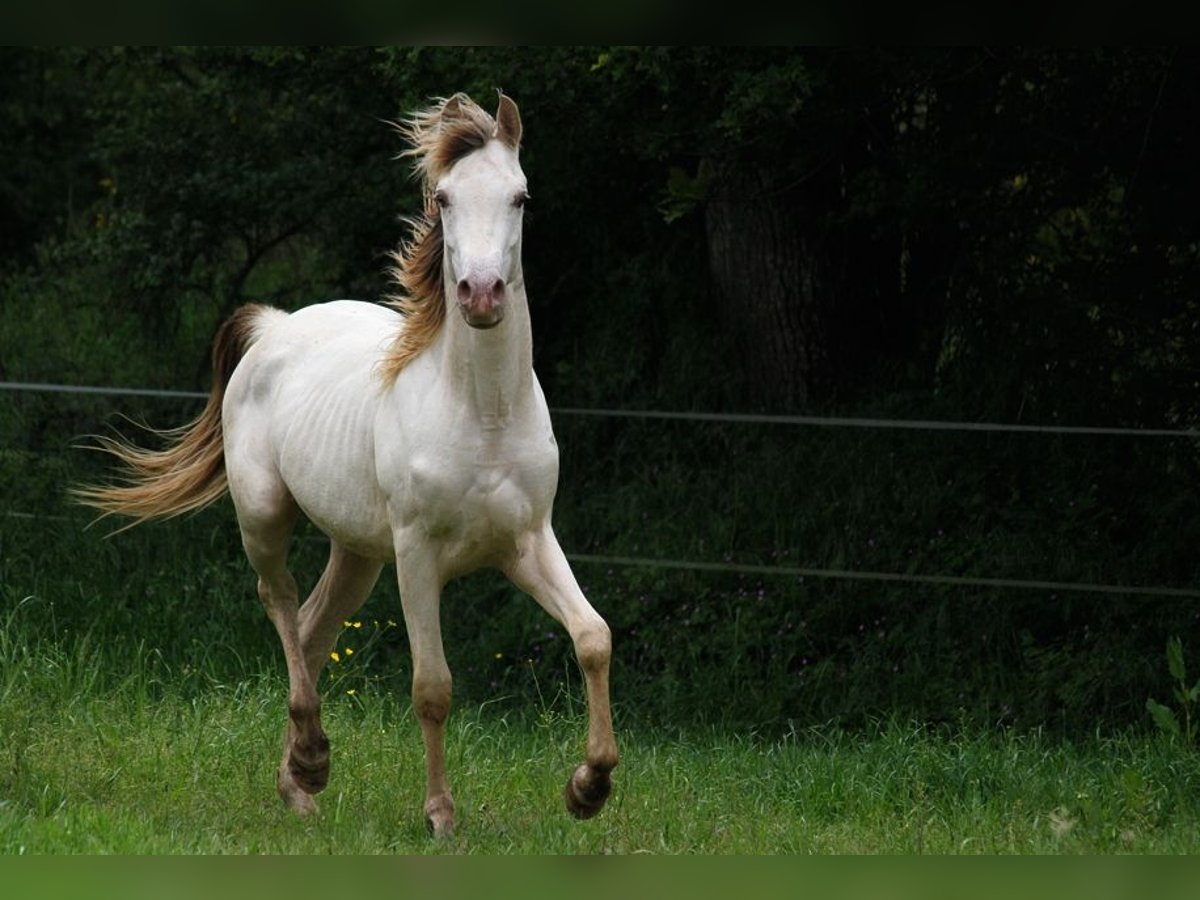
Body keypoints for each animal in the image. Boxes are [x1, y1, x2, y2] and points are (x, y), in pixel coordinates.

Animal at [77, 93, 619, 840]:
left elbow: (593, 637)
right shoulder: (418, 554)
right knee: (279, 602)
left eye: (521, 197)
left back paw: (300, 785)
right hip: (265, 517)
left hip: (358, 553)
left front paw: (589, 788)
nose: (481, 294)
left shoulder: (528, 541)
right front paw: (441, 814)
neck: (481, 416)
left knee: (311, 630)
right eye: (443, 199)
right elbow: (432, 686)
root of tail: (276, 325)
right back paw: (311, 756)